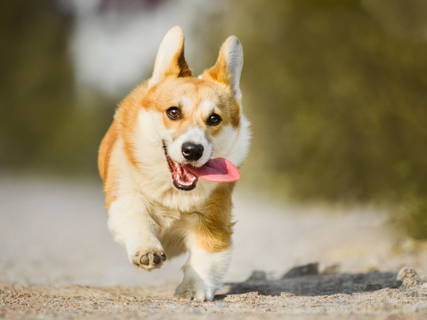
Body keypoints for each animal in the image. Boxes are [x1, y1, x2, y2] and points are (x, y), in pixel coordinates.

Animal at [98, 26, 251, 302]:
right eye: (173, 112)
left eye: (214, 118)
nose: (192, 150)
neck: (174, 193)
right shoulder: (123, 196)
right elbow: (136, 216)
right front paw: (147, 250)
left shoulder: (213, 219)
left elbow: (206, 256)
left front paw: (193, 289)